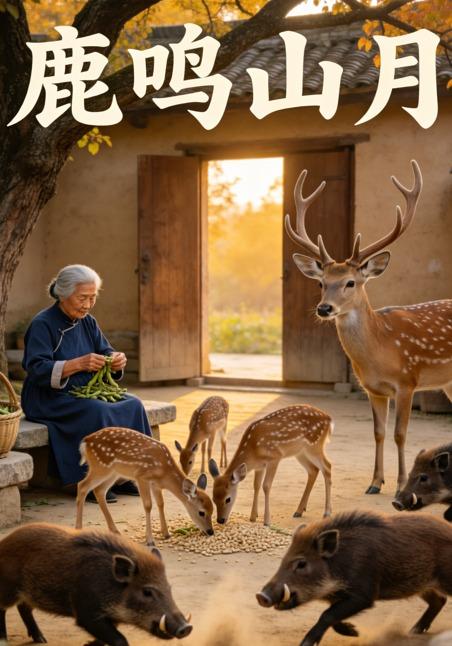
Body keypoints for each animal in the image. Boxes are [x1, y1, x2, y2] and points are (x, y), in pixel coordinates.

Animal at [75, 427, 214, 546]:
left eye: (213, 510)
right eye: (201, 512)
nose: (210, 531)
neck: (164, 472)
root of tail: (85, 442)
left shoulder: (155, 484)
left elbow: (161, 503)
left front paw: (166, 533)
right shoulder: (141, 477)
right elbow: (148, 505)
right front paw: (150, 540)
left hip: (113, 472)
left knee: (99, 490)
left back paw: (115, 531)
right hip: (100, 467)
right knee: (82, 486)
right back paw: (78, 529)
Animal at [285, 159, 452, 497]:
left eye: (350, 282)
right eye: (321, 283)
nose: (324, 308)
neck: (381, 349)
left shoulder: (407, 381)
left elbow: (400, 433)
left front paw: (400, 484)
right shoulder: (373, 389)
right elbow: (378, 433)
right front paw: (375, 483)